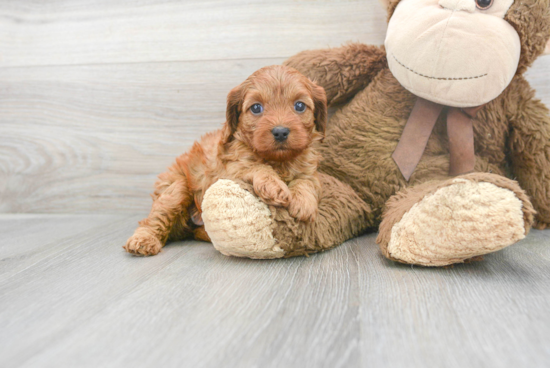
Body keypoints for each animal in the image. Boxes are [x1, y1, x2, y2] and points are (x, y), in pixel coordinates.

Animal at [125, 65, 328, 256]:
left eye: (300, 106)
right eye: (256, 108)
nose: (280, 132)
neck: (279, 160)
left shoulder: (310, 169)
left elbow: (307, 181)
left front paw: (303, 203)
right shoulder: (230, 169)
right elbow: (255, 167)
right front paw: (274, 186)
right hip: (176, 189)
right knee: (154, 219)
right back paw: (143, 241)